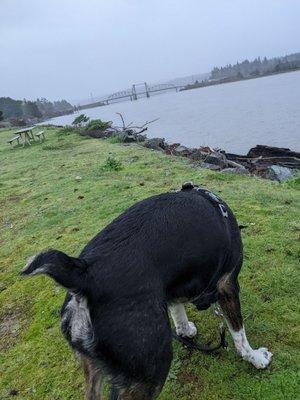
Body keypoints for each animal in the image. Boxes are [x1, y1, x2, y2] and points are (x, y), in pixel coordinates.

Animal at [21, 184, 272, 400]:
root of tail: (85, 273)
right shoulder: (227, 284)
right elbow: (238, 332)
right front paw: (254, 357)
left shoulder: (172, 288)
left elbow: (177, 309)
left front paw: (185, 329)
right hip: (150, 373)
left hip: (93, 369)